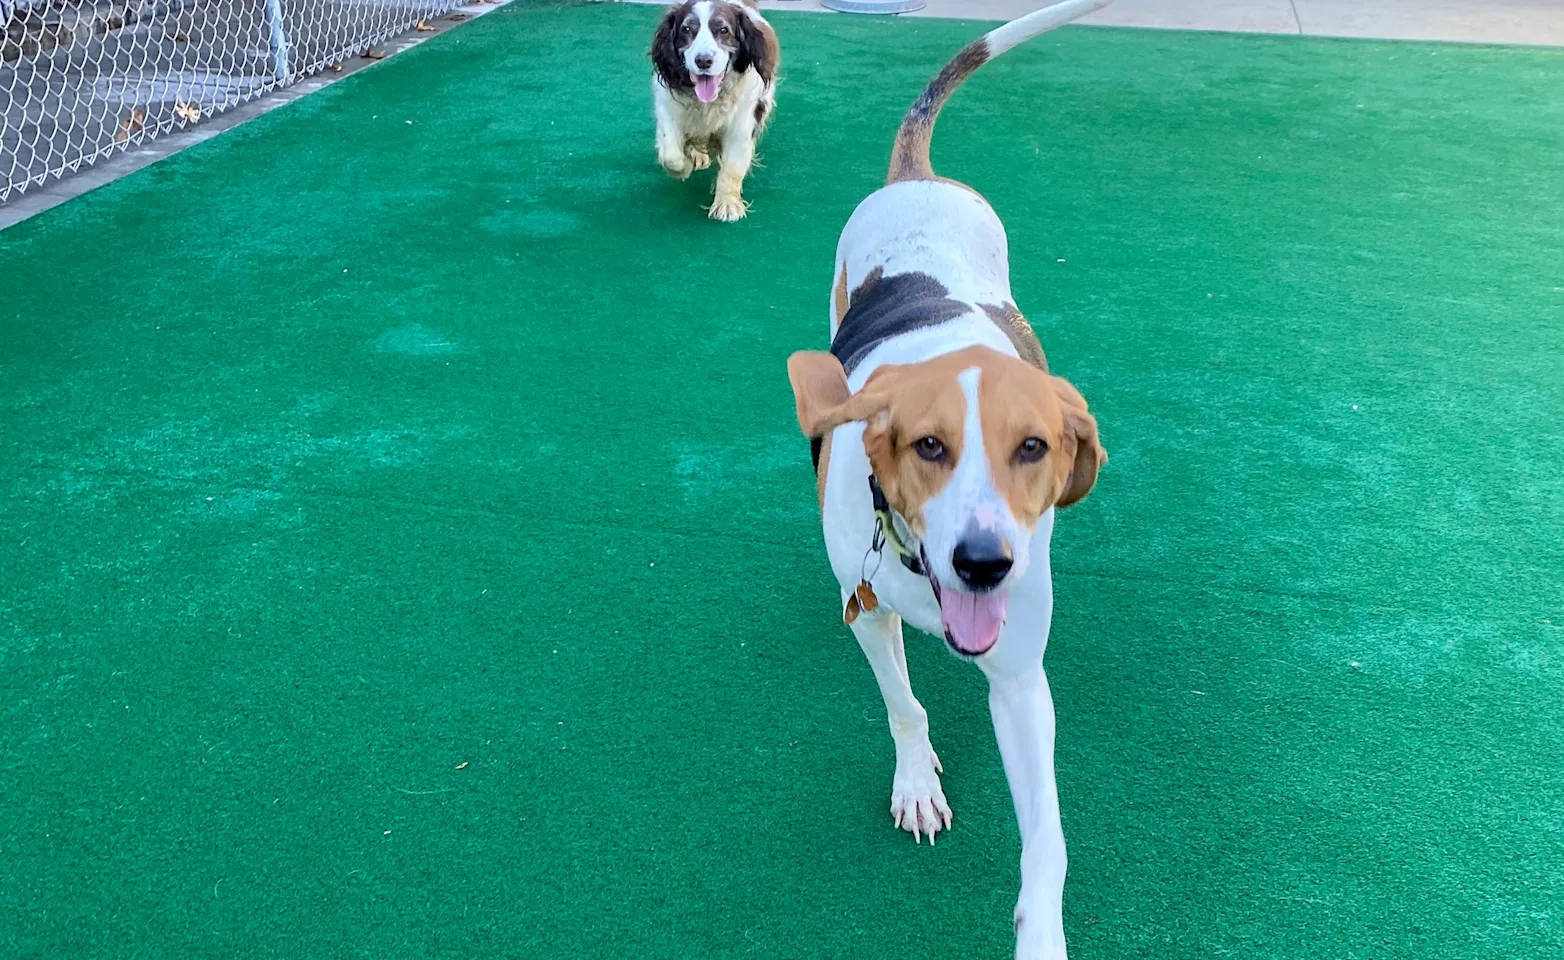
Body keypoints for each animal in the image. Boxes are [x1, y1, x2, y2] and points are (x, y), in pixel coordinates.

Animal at [647, 0, 775, 222]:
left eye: (723, 30)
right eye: (686, 29)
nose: (703, 61)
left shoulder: (742, 125)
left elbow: (733, 166)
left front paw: (727, 204)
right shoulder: (667, 109)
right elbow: (670, 155)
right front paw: (685, 167)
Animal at [794, 3, 1113, 956]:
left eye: (1035, 448)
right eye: (928, 447)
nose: (984, 563)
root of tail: (919, 177)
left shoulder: (1020, 678)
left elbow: (1047, 843)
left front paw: (1041, 932)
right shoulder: (863, 609)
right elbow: (903, 706)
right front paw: (916, 784)